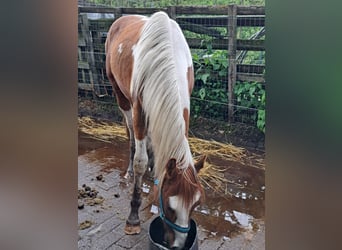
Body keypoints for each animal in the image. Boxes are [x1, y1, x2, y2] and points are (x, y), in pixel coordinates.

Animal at [104, 11, 206, 248]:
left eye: (195, 206)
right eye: (169, 206)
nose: (178, 245)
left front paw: (154, 170)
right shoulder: (139, 110)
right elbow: (140, 160)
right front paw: (133, 217)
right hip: (121, 96)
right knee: (131, 134)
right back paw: (130, 169)